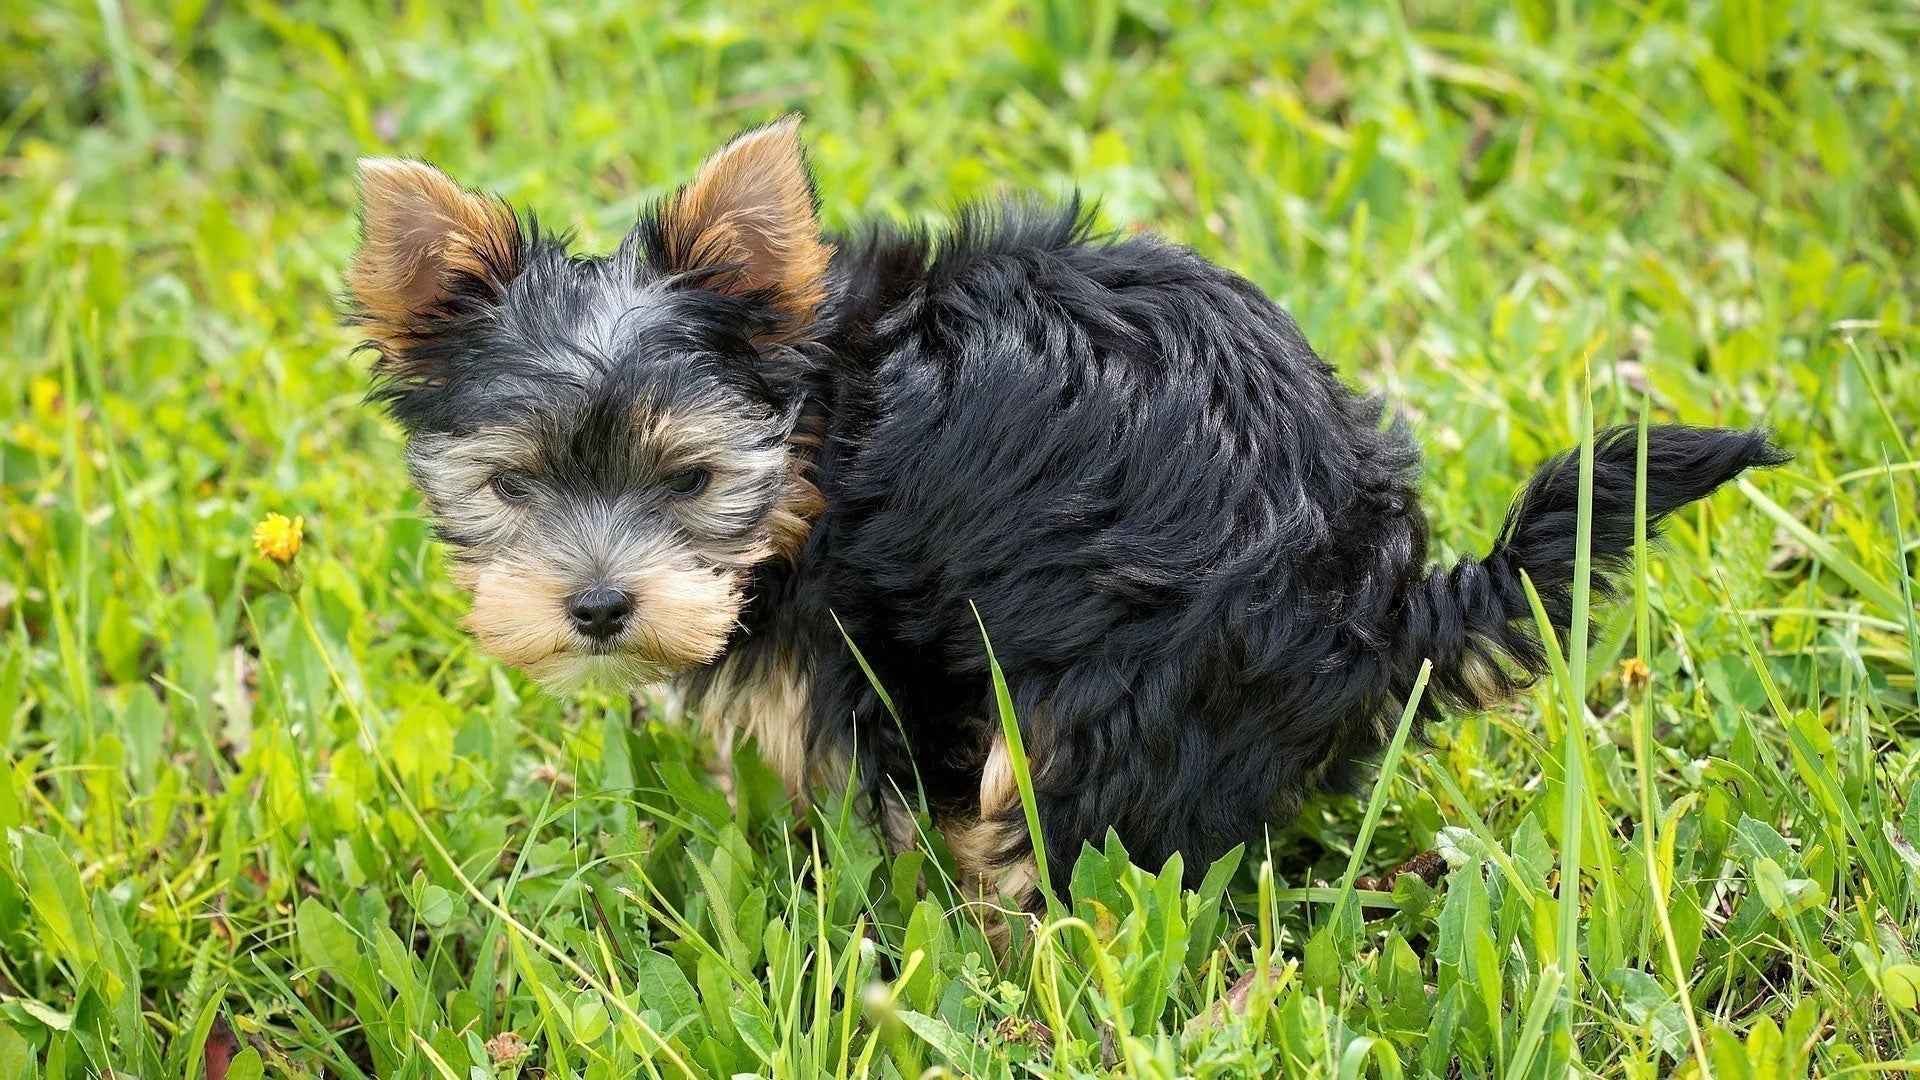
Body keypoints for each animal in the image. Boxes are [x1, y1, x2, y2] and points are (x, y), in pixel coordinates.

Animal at [345, 115, 1781, 907]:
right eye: (513, 485)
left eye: (689, 481)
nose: (597, 607)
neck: (816, 425)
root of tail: (1384, 595)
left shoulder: (878, 640)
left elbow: (884, 779)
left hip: (1126, 682)